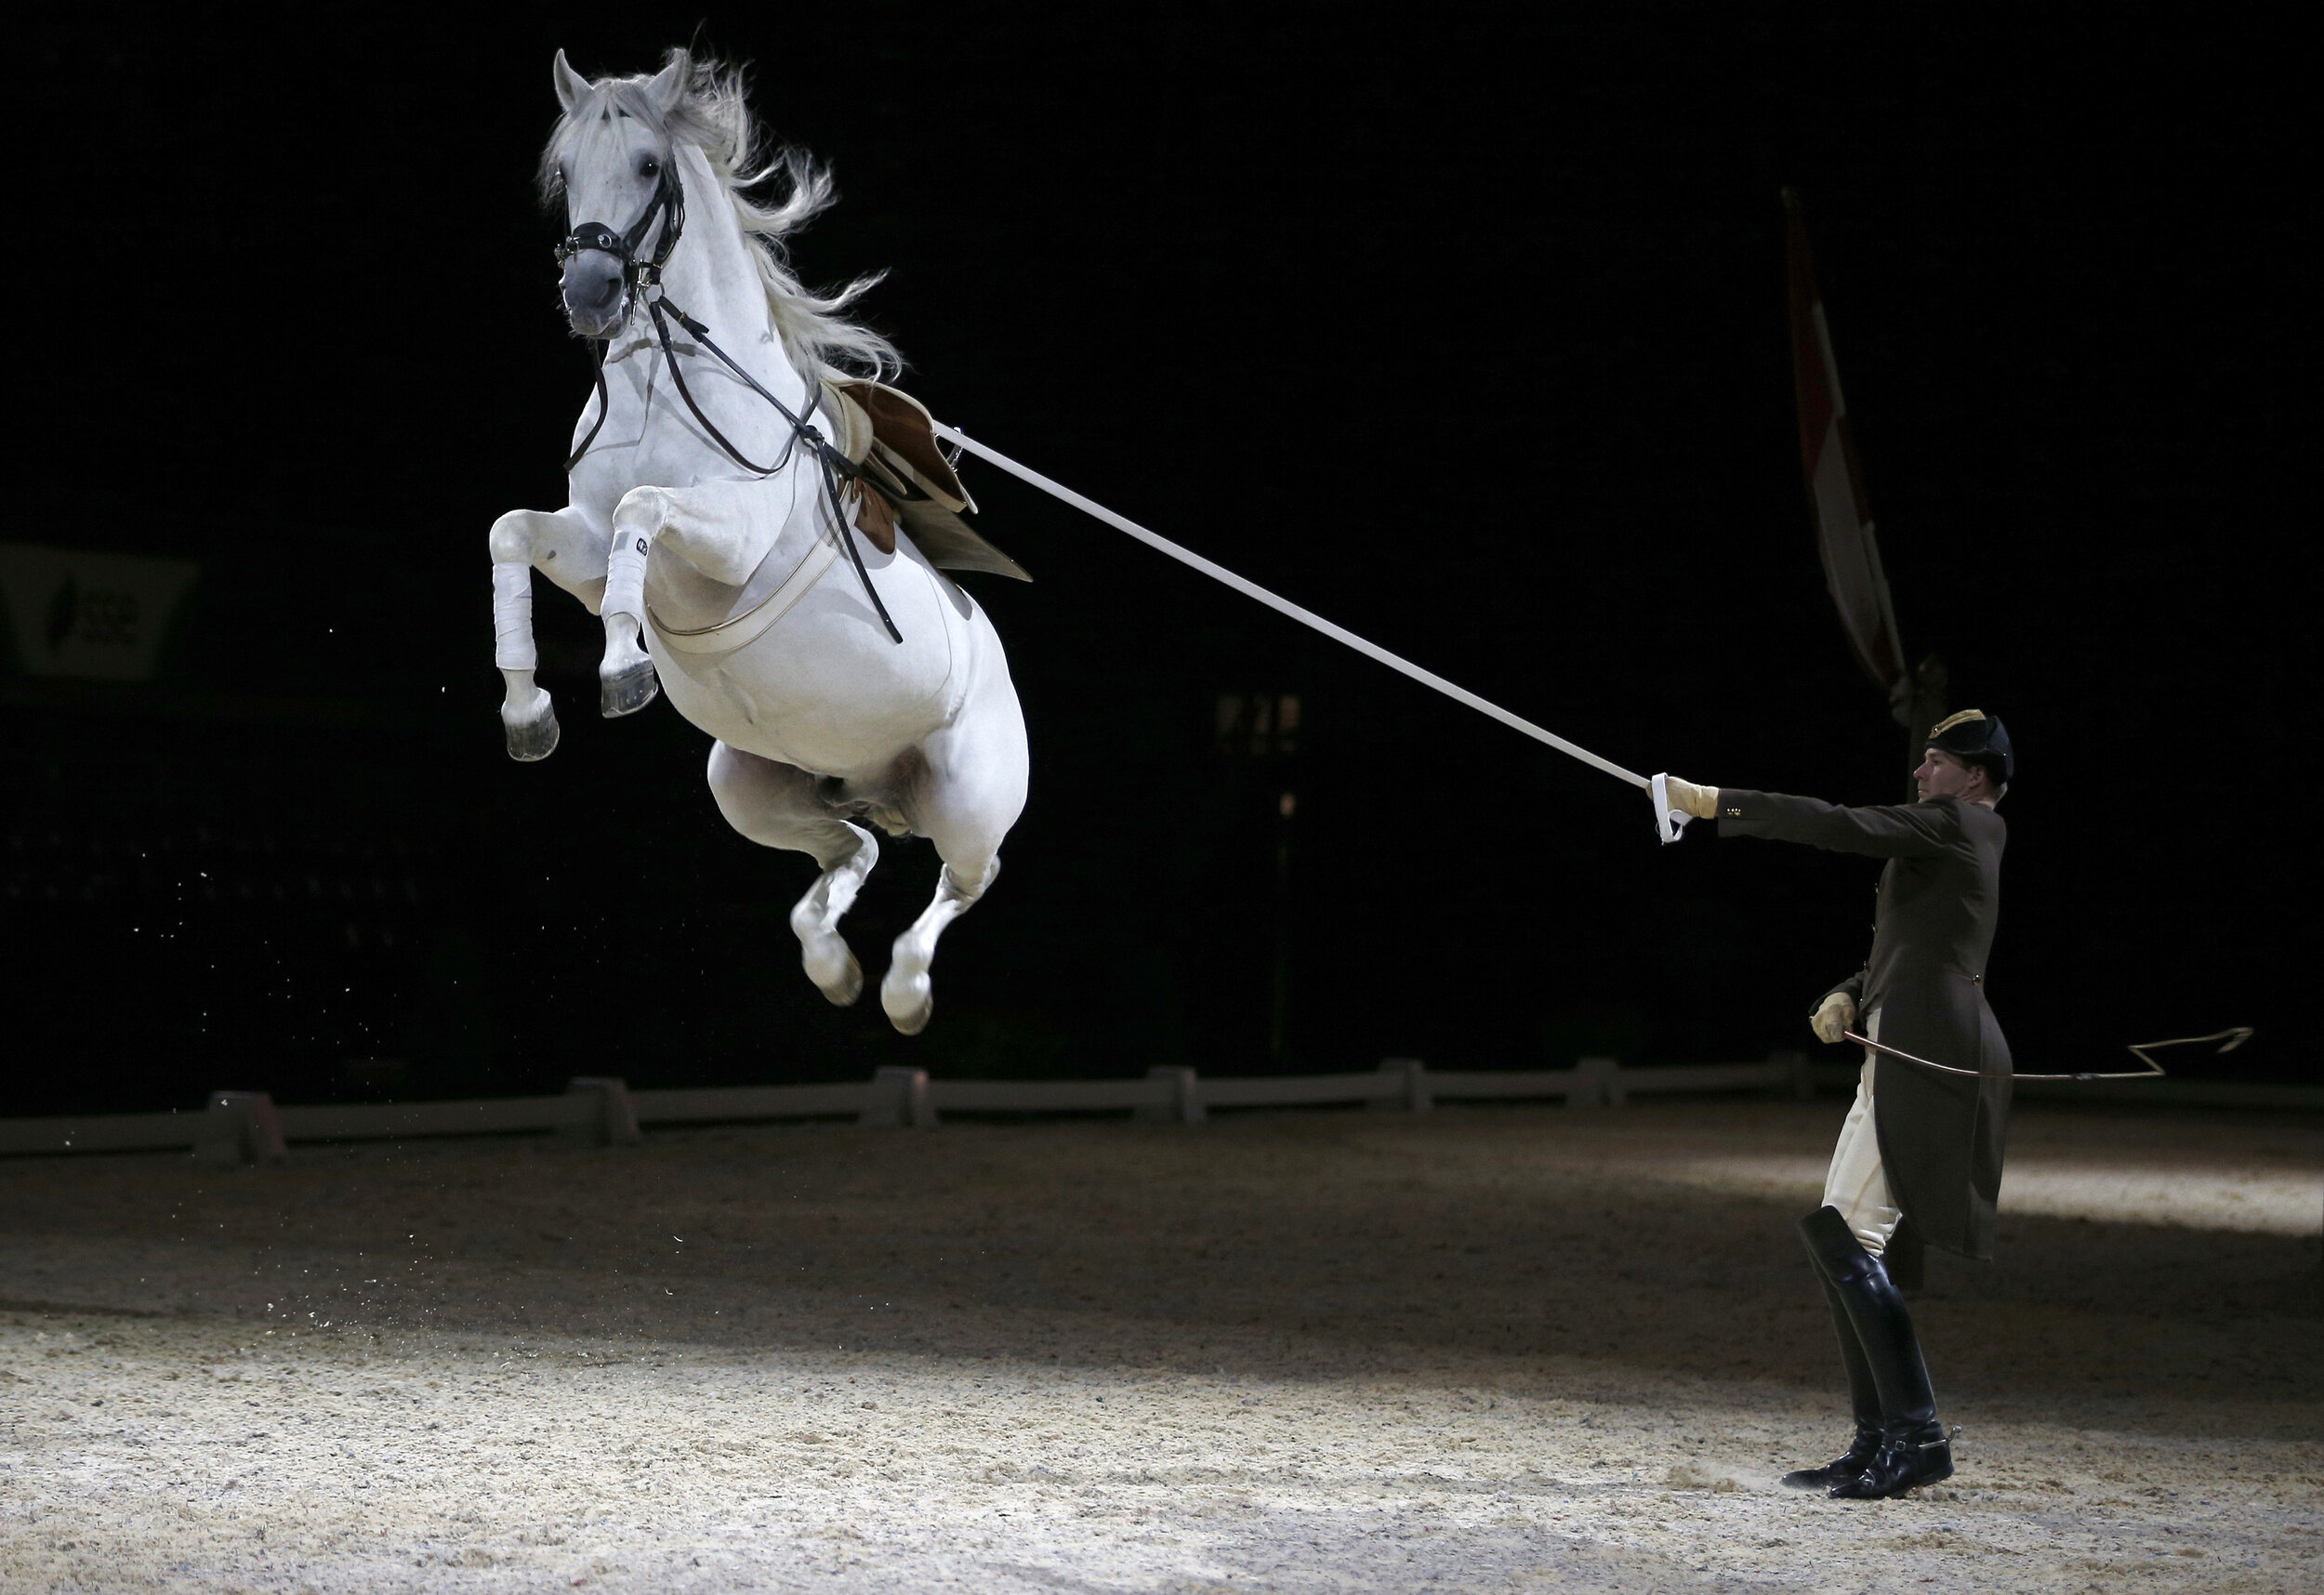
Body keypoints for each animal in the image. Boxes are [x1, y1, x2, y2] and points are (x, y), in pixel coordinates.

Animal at [486, 49, 1029, 1036]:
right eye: (566, 172)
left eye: (649, 166)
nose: (590, 294)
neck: (664, 385)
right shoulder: (579, 549)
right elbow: (517, 534)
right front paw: (528, 713)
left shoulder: (727, 541)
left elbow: (644, 513)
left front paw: (623, 673)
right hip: (749, 789)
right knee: (852, 851)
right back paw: (833, 967)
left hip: (969, 798)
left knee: (964, 880)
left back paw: (903, 991)